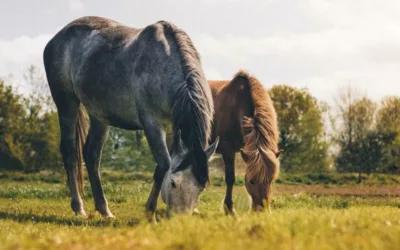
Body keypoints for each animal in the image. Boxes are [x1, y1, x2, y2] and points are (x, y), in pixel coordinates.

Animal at [43, 15, 219, 220]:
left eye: (201, 187)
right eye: (174, 183)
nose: (180, 220)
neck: (164, 65)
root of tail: (57, 37)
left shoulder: (171, 130)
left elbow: (162, 167)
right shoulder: (152, 125)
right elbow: (164, 165)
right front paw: (150, 211)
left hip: (98, 116)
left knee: (92, 156)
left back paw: (104, 209)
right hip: (67, 104)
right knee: (70, 153)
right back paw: (79, 208)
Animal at [208, 69, 282, 214]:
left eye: (270, 181)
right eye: (251, 181)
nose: (261, 211)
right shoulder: (227, 150)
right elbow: (230, 179)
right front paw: (229, 209)